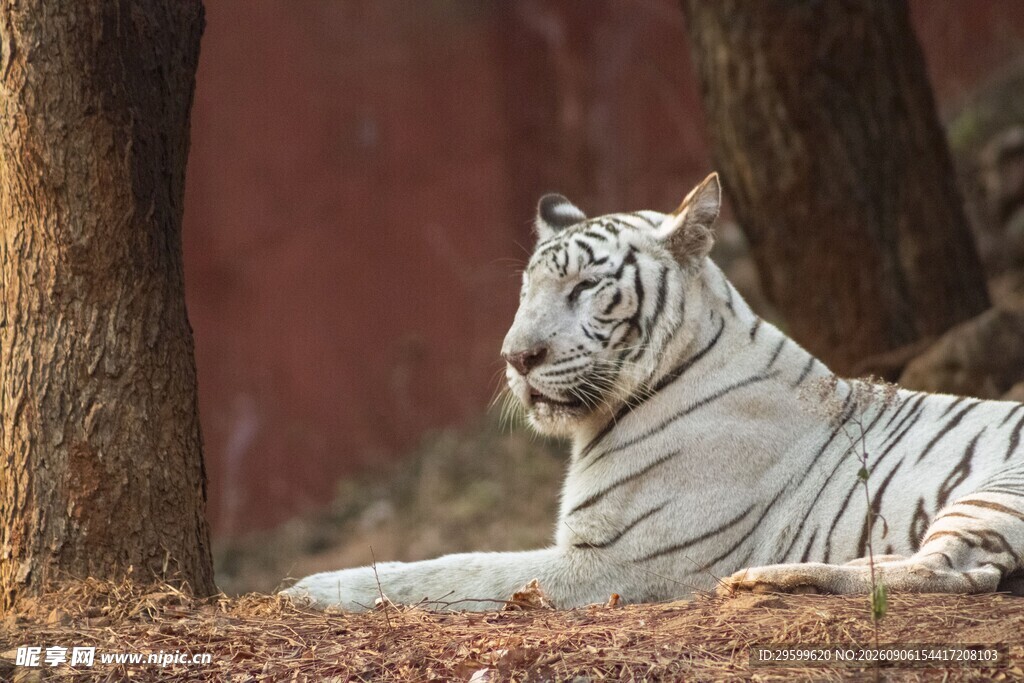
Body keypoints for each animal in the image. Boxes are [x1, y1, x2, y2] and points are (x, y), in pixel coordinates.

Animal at [283, 173, 1024, 610]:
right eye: (527, 290)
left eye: (585, 287)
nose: (517, 358)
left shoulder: (613, 561)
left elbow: (458, 569)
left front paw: (309, 587)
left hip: (992, 492)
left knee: (945, 571)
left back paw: (770, 576)